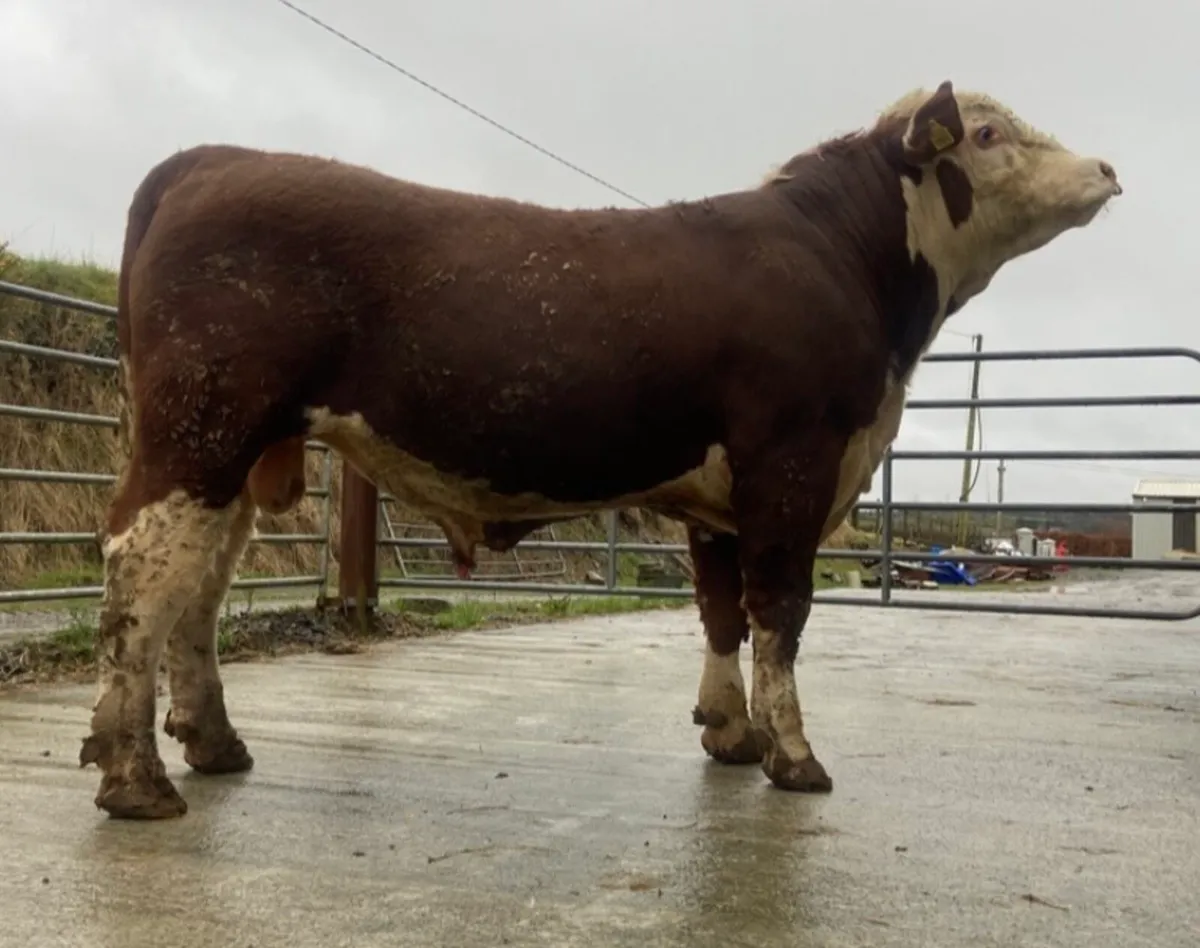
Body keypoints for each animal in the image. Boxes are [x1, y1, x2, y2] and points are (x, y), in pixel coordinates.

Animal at [79, 80, 1122, 819]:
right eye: (986, 134)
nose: (1108, 168)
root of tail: (210, 158)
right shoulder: (791, 464)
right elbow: (781, 613)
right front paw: (793, 757)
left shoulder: (721, 495)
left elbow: (721, 612)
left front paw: (729, 735)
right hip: (199, 429)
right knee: (143, 573)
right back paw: (135, 777)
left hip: (235, 452)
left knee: (199, 588)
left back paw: (213, 744)